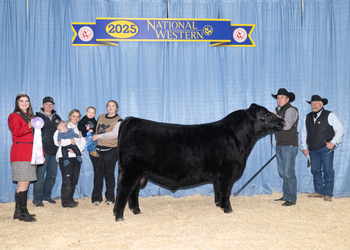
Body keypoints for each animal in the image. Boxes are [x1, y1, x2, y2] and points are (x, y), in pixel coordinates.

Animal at [113, 103, 286, 221]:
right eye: (265, 114)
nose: (283, 121)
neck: (239, 137)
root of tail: (131, 120)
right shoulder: (227, 174)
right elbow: (226, 192)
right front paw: (228, 209)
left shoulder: (218, 177)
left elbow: (218, 191)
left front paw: (218, 205)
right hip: (131, 170)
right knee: (123, 191)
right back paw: (119, 216)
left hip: (139, 173)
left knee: (133, 192)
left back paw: (136, 211)